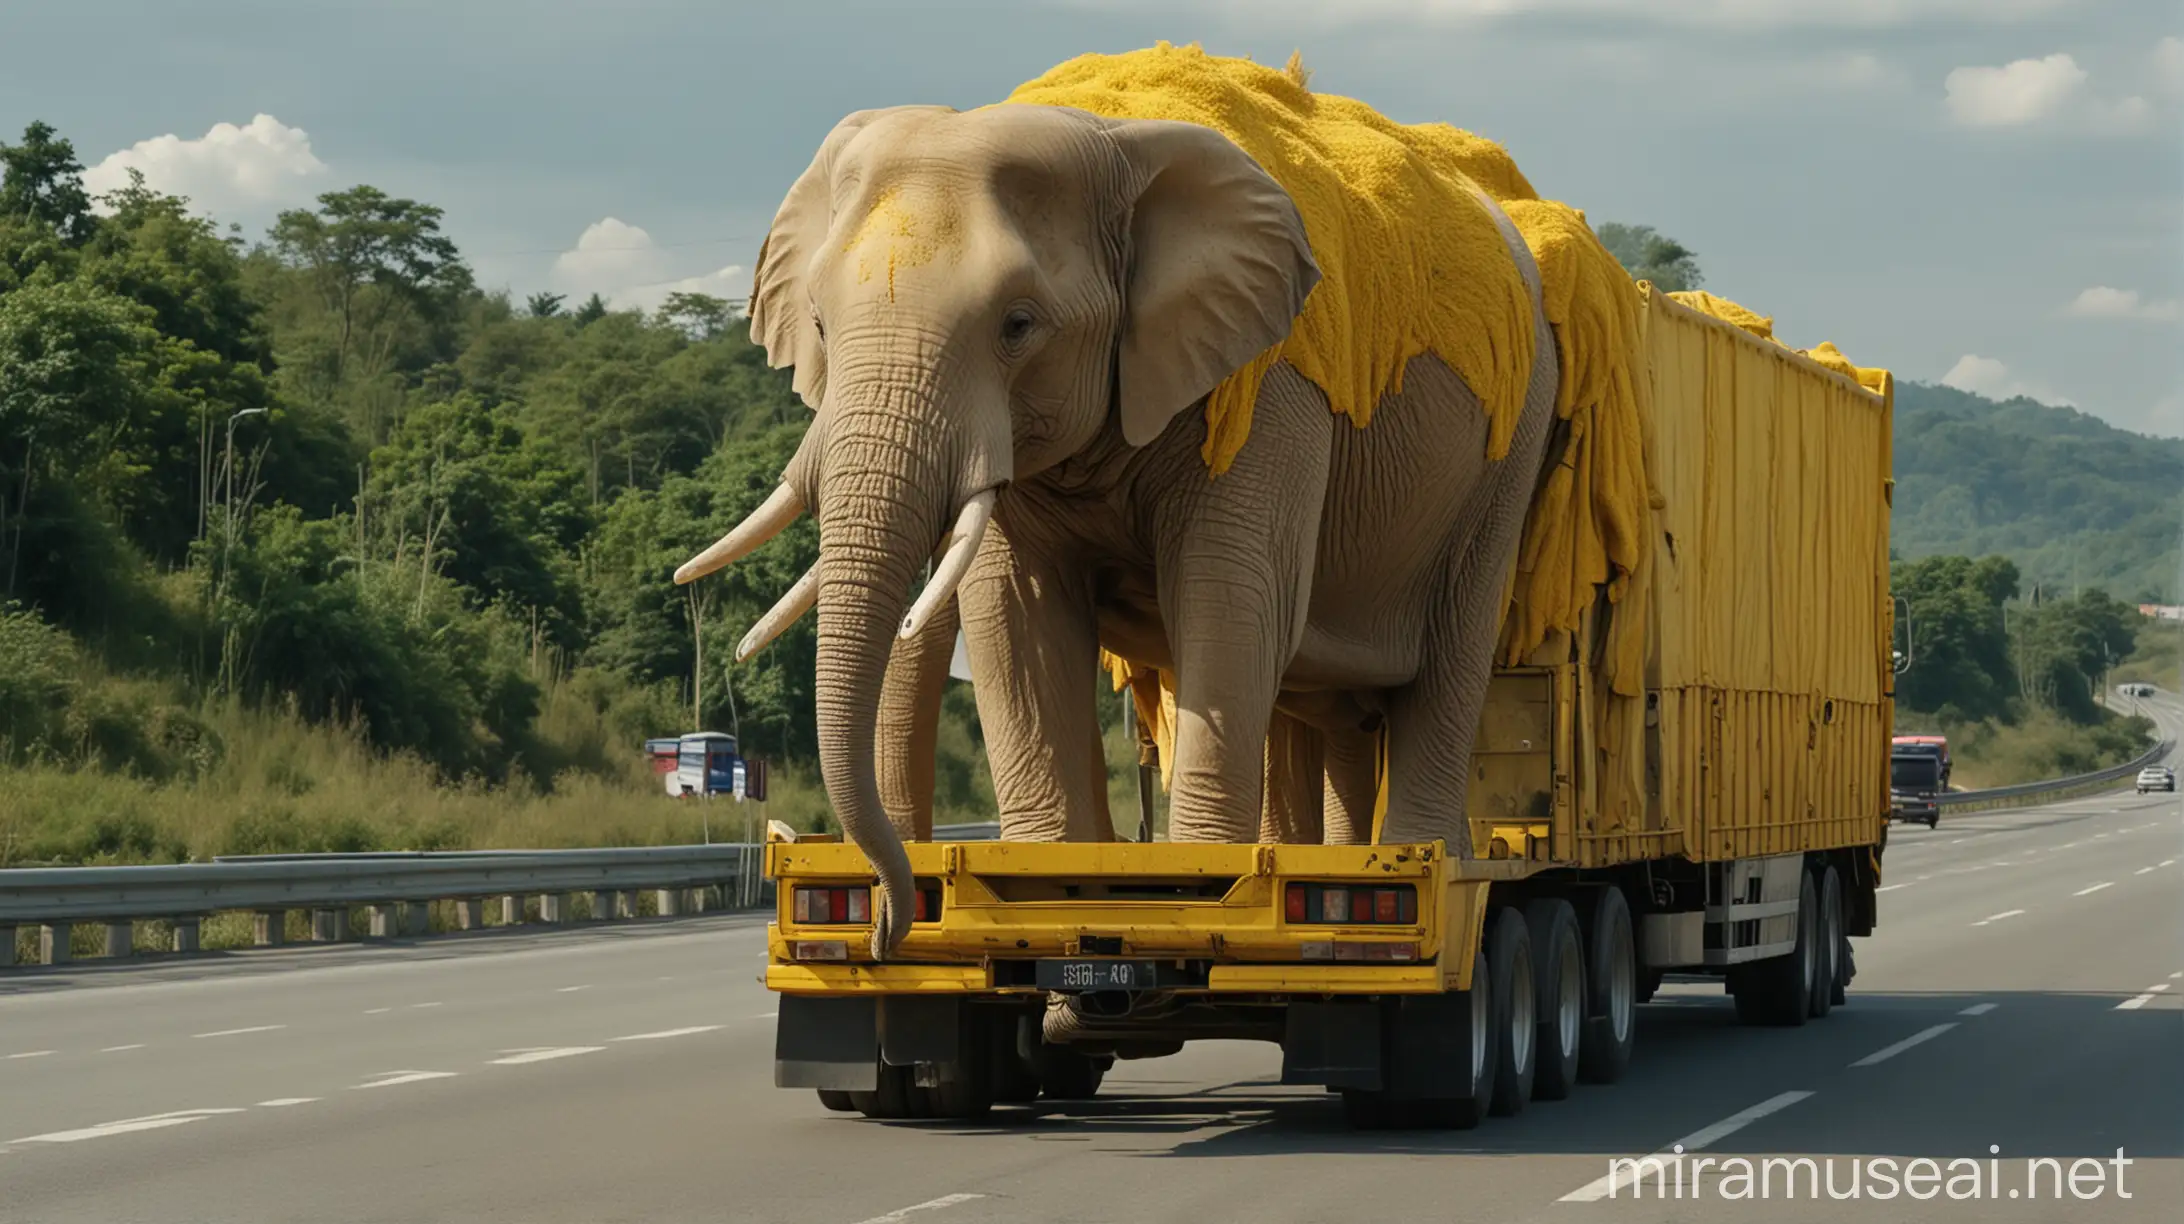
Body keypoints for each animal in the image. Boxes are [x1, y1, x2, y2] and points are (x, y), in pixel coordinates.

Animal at [672, 100, 1563, 957]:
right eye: (820, 327)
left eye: (1018, 325)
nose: (889, 927)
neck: (1108, 139)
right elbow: (1020, 621)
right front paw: (1053, 879)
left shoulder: (1270, 391)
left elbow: (1230, 606)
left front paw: (1205, 884)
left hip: (1512, 445)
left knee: (1451, 649)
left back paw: (1424, 856)